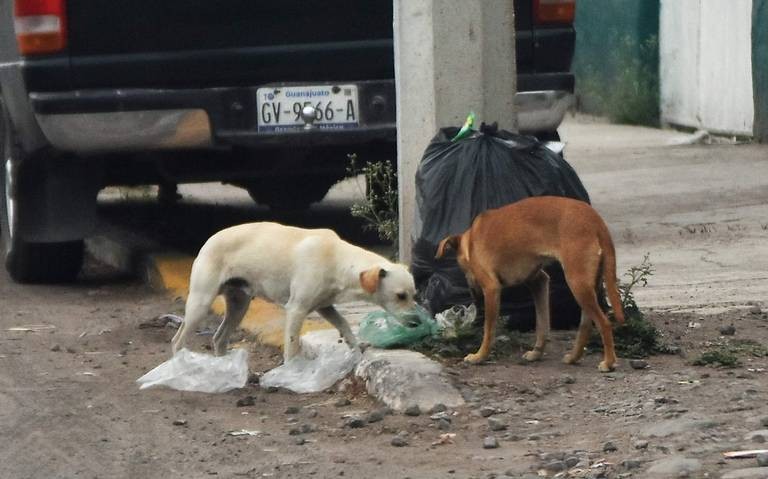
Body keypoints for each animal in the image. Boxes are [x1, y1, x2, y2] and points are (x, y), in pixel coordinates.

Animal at [172, 222, 416, 360]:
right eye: (400, 296)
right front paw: (290, 370)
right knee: (177, 341)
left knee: (219, 338)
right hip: (201, 303)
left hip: (238, 306)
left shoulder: (325, 306)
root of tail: (208, 241)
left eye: (414, 295)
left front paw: (355, 347)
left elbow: (344, 324)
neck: (337, 258)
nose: (416, 323)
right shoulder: (296, 309)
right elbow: (291, 345)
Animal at [436, 195, 620, 372]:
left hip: (577, 283)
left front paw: (480, 356)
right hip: (588, 285)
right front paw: (536, 353)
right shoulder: (538, 282)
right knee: (586, 325)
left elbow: (488, 329)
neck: (471, 242)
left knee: (604, 323)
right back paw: (574, 357)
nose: (473, 294)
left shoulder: (491, 288)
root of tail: (595, 220)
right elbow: (542, 324)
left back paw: (609, 362)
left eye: (464, 269)